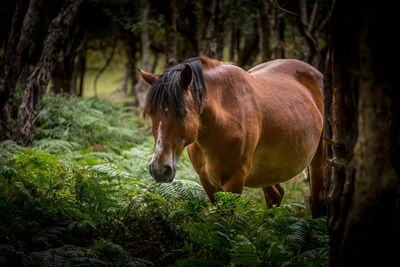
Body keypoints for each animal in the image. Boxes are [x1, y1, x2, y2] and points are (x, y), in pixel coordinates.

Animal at [139, 57, 326, 219]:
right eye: (152, 114)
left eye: (183, 113)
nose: (159, 169)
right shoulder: (207, 181)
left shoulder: (234, 181)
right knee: (275, 196)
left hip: (318, 161)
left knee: (316, 201)